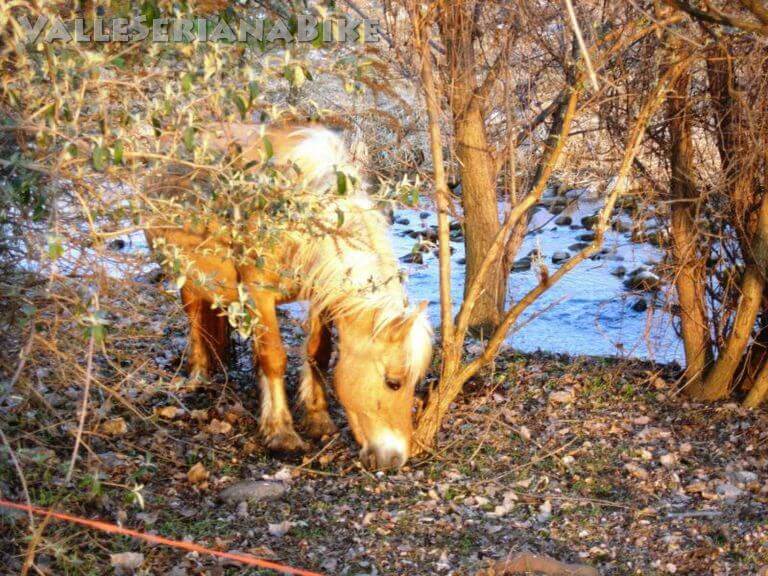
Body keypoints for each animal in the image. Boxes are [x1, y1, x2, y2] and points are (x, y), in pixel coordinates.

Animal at [144, 123, 433, 469]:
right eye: (393, 382)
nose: (396, 458)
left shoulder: (321, 294)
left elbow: (318, 353)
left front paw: (317, 417)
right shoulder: (259, 294)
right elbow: (275, 358)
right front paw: (281, 432)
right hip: (185, 275)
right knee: (195, 319)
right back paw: (198, 374)